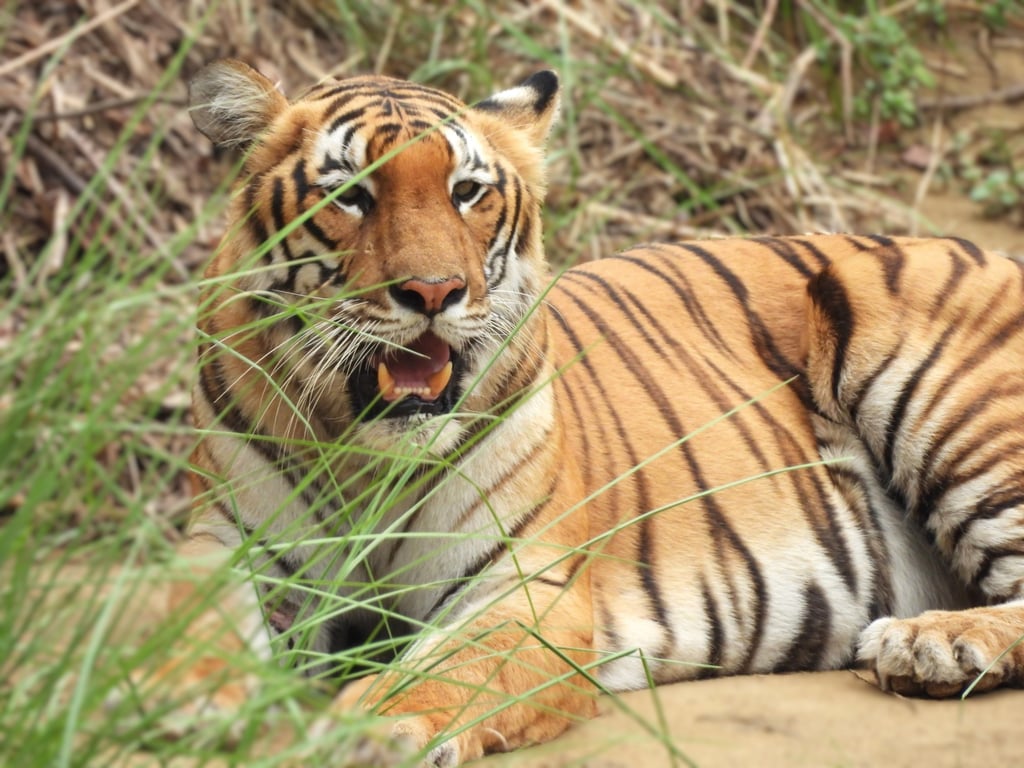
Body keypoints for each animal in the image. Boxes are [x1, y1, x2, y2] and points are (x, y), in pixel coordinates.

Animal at [173, 58, 1024, 765]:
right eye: (352, 195)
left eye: (466, 193)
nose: (434, 292)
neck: (364, 452)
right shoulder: (225, 545)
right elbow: (188, 623)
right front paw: (184, 701)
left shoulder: (525, 586)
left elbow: (450, 669)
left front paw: (361, 730)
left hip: (944, 391)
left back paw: (932, 644)